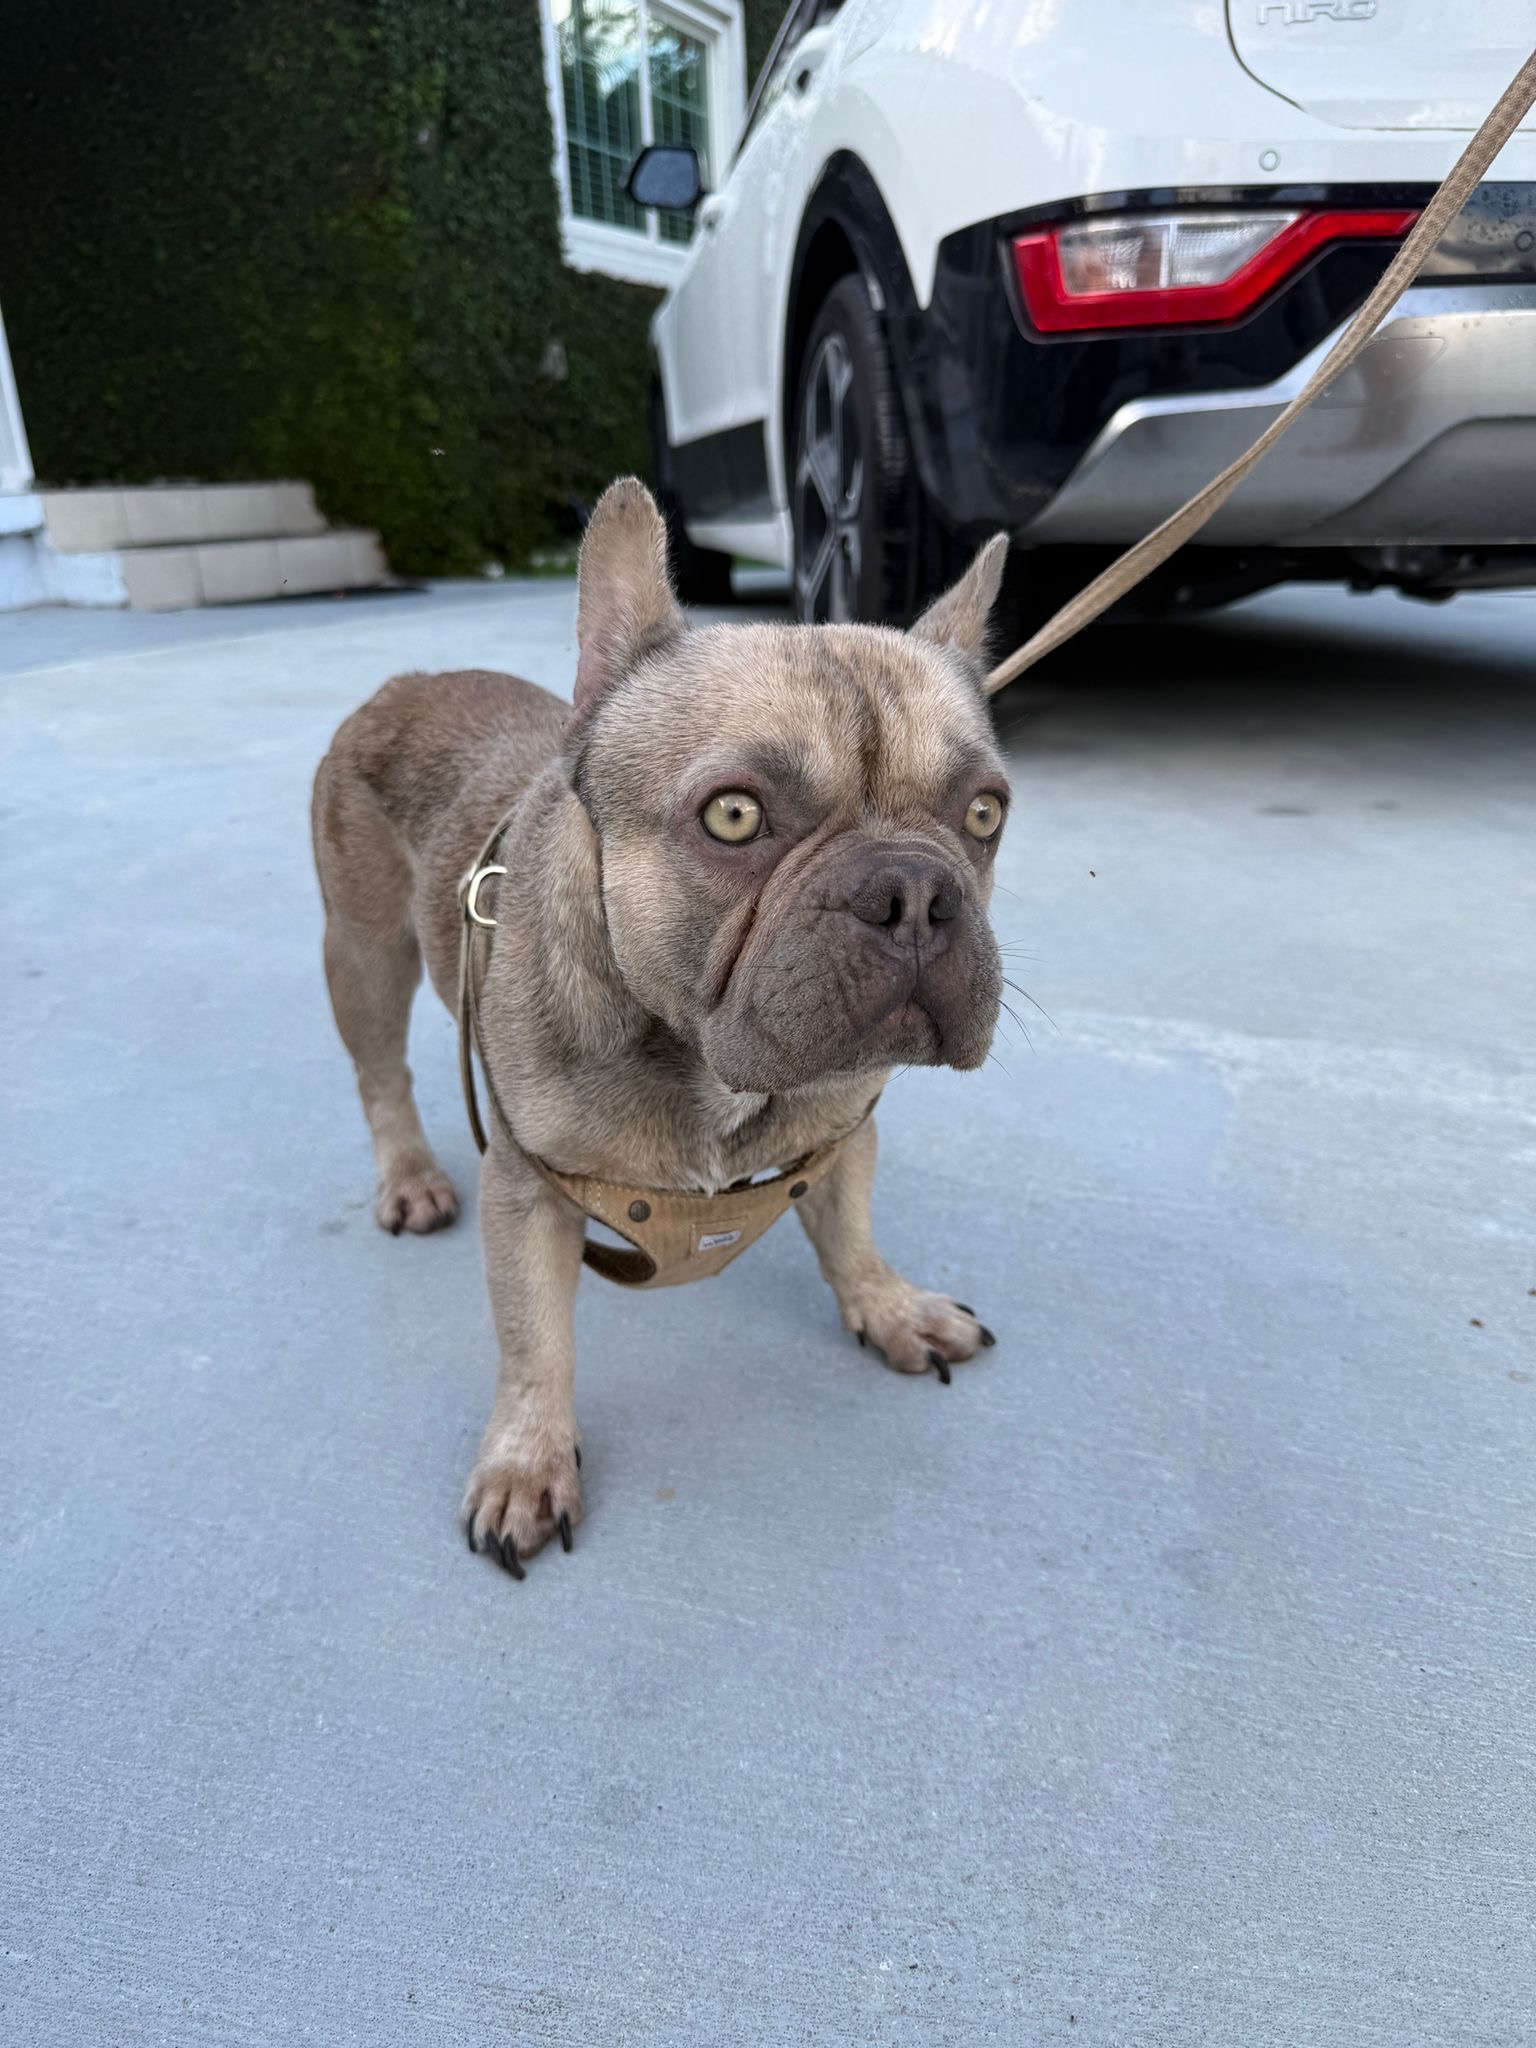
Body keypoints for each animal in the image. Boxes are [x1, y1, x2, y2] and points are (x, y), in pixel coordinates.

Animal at [312, 479, 1010, 1576]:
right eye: (734, 815)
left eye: (985, 814)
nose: (914, 894)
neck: (705, 1065)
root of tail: (403, 682)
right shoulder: (529, 1188)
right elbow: (534, 1340)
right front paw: (526, 1461)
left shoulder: (843, 1131)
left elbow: (849, 1228)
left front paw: (890, 1306)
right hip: (365, 954)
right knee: (381, 1073)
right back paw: (410, 1177)